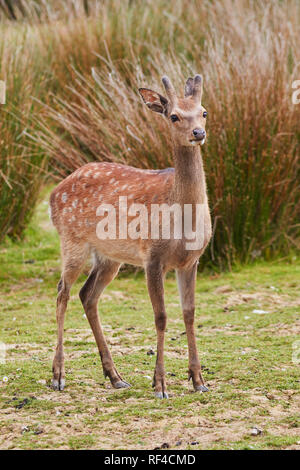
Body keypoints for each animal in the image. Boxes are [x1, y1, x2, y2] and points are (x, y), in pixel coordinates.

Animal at [50, 73, 212, 396]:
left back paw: (115, 376)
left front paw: (198, 380)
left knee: (87, 295)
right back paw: (58, 375)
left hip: (110, 257)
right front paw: (160, 384)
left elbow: (189, 313)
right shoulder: (153, 256)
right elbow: (161, 316)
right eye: (174, 116)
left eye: (203, 111)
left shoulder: (191, 260)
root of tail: (52, 194)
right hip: (72, 242)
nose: (198, 133)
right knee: (63, 291)